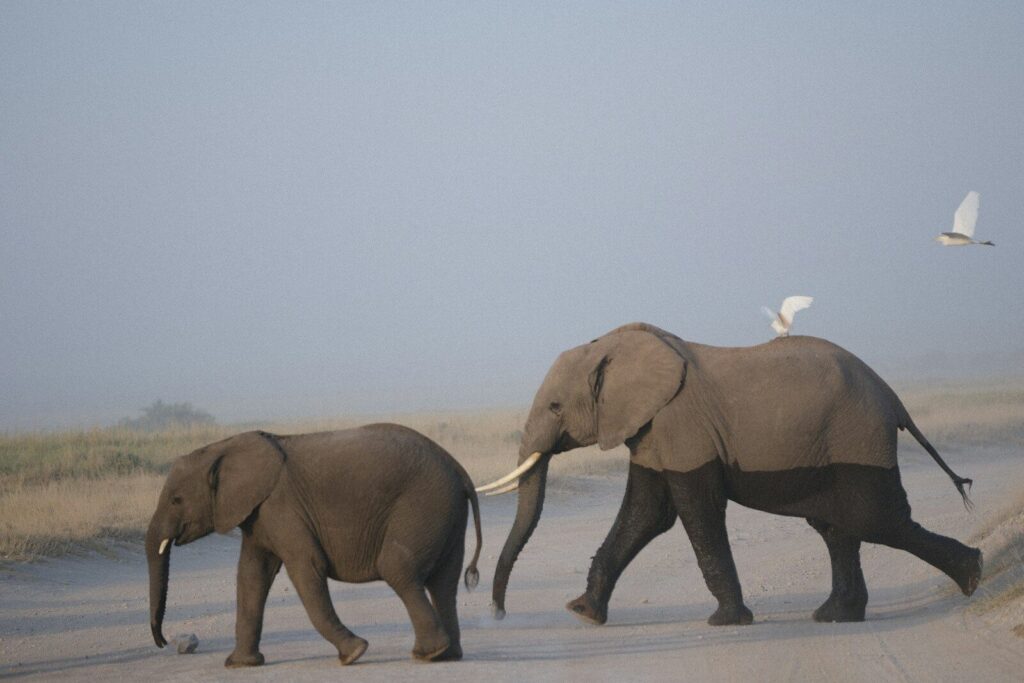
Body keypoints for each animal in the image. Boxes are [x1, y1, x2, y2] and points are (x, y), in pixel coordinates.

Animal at [147, 424, 482, 667]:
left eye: (176, 500)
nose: (163, 642)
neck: (222, 447)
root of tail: (459, 469)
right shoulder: (257, 514)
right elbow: (252, 577)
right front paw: (240, 665)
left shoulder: (281, 507)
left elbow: (306, 567)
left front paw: (353, 654)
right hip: (445, 512)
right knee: (444, 583)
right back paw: (447, 655)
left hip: (423, 505)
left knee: (397, 568)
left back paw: (428, 654)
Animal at [479, 322, 981, 628]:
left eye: (555, 407)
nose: (499, 611)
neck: (614, 344)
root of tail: (894, 398)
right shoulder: (652, 430)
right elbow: (647, 512)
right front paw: (583, 613)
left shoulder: (681, 425)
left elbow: (694, 510)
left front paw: (727, 621)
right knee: (838, 526)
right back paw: (835, 616)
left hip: (857, 436)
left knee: (874, 519)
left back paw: (973, 576)